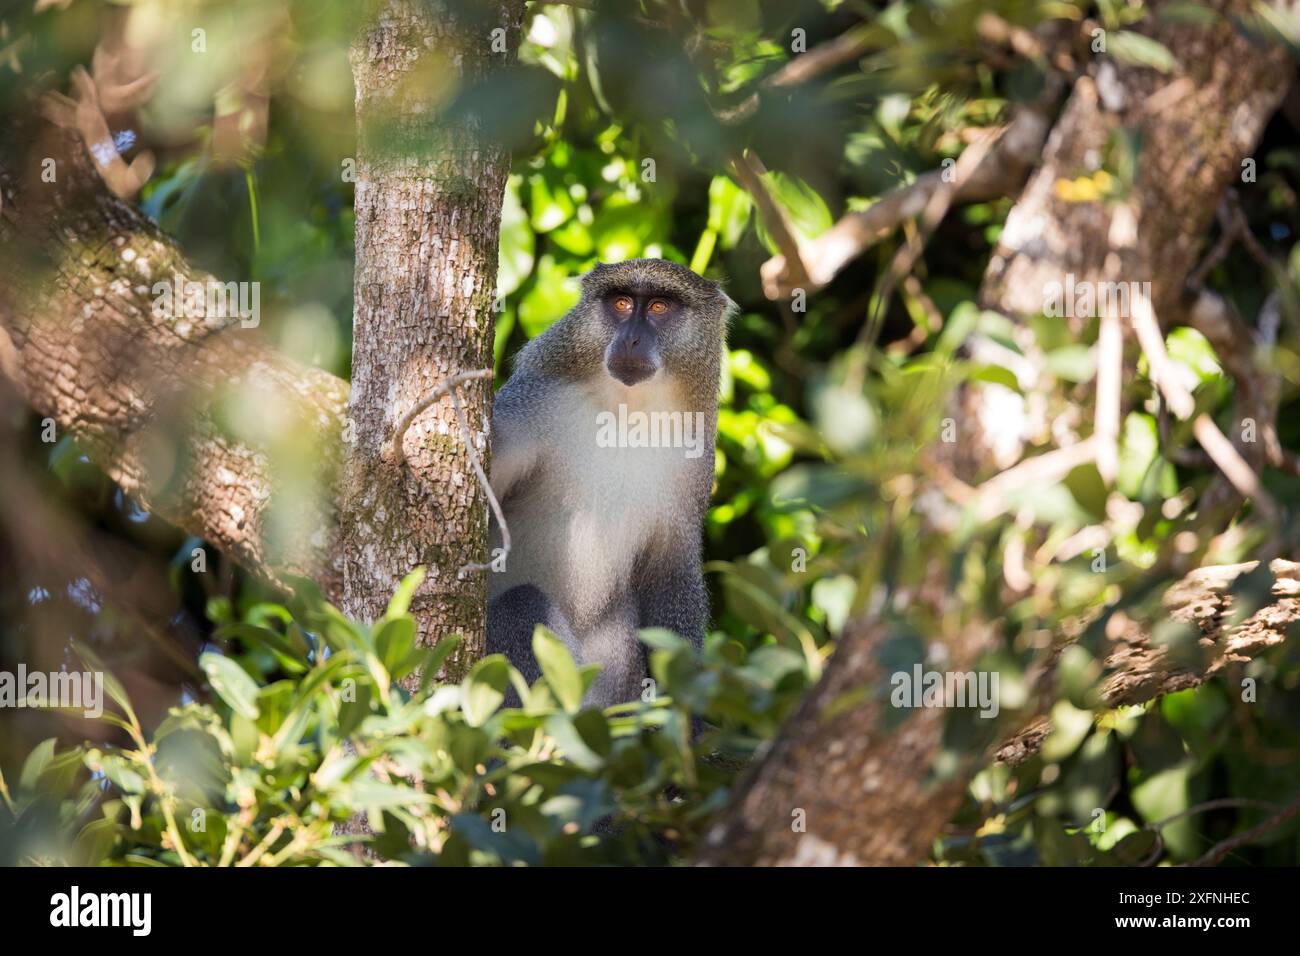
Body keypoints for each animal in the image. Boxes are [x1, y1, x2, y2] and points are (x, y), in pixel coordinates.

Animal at [488, 257, 733, 707]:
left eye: (658, 307)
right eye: (621, 303)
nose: (631, 339)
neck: (626, 414)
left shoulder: (694, 460)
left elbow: (670, 571)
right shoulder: (532, 404)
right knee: (519, 603)